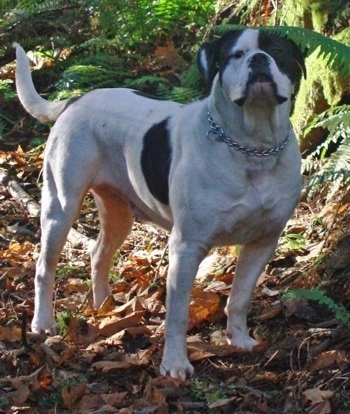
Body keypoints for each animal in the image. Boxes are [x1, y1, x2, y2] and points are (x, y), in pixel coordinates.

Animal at [13, 27, 306, 380]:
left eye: (277, 52)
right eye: (236, 54)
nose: (259, 59)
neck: (252, 147)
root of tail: (76, 99)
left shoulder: (263, 241)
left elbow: (239, 296)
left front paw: (239, 339)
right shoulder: (187, 247)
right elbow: (177, 315)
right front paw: (175, 364)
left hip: (118, 211)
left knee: (99, 254)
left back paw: (105, 309)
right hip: (61, 205)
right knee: (45, 266)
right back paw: (43, 324)